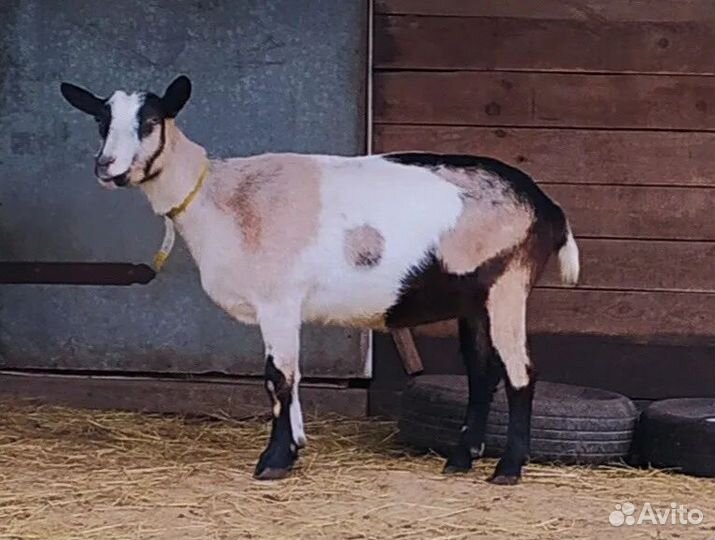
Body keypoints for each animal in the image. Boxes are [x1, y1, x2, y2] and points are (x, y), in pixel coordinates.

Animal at [60, 75, 580, 484]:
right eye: (101, 122)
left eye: (150, 121)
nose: (107, 167)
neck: (219, 196)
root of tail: (548, 208)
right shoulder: (284, 307)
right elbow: (290, 375)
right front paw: (295, 447)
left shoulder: (277, 299)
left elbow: (278, 377)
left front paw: (274, 461)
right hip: (475, 297)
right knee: (482, 371)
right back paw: (460, 459)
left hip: (508, 283)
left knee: (520, 372)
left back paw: (508, 469)